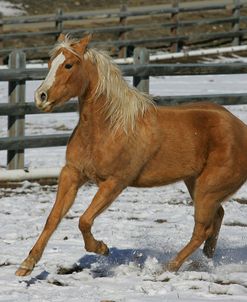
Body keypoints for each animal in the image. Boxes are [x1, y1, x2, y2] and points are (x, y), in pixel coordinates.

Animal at [15, 33, 247, 276]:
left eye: (69, 64)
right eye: (50, 63)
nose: (41, 96)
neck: (109, 127)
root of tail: (241, 128)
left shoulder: (114, 183)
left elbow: (84, 220)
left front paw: (102, 248)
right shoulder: (72, 173)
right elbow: (53, 218)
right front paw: (26, 265)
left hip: (207, 191)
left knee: (202, 229)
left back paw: (169, 267)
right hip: (196, 185)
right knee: (217, 217)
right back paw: (204, 259)